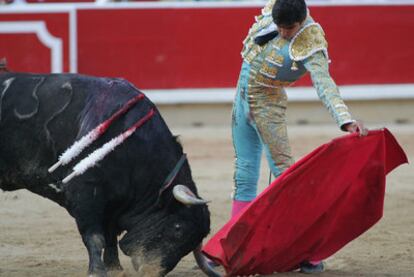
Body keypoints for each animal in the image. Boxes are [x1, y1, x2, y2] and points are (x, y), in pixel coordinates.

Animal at [0, 73, 222, 276]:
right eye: (177, 228)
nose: (151, 272)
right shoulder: (85, 196)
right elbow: (95, 237)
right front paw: (97, 271)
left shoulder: (113, 202)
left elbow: (110, 235)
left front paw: (115, 268)